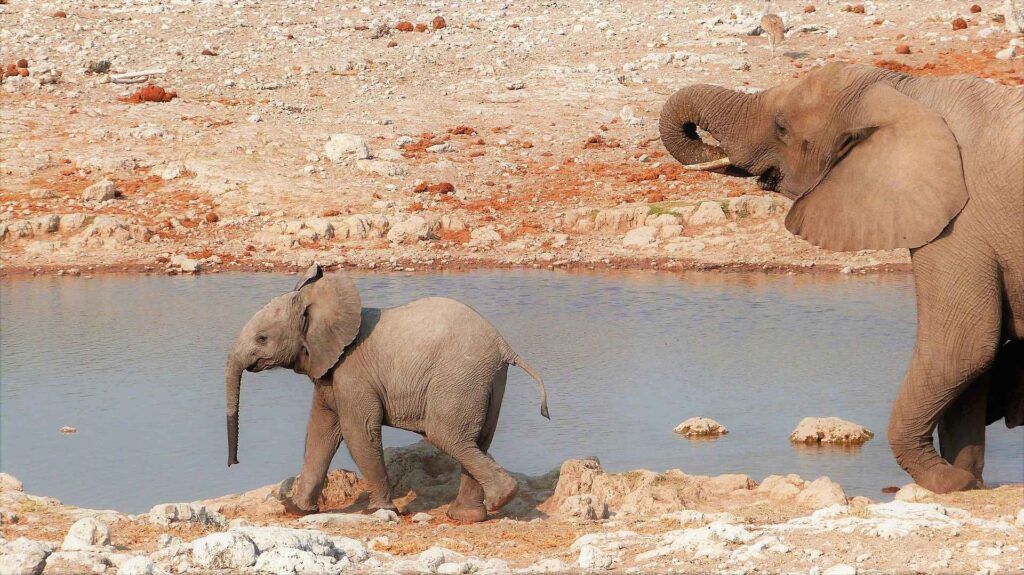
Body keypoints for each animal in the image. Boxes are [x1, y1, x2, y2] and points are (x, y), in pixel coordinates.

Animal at [224, 264, 550, 522]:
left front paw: (379, 511)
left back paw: (502, 498)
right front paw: (297, 510)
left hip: (460, 377)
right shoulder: (329, 374)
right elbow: (319, 431)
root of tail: (503, 345)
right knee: (477, 439)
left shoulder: (352, 373)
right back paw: (469, 515)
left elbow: (357, 431)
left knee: (446, 435)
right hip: (487, 379)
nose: (233, 464)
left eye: (262, 338)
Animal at [659, 62, 1023, 493]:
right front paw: (966, 481)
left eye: (782, 127)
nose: (700, 136)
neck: (907, 91)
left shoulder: (962, 223)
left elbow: (963, 345)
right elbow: (974, 364)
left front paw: (946, 481)